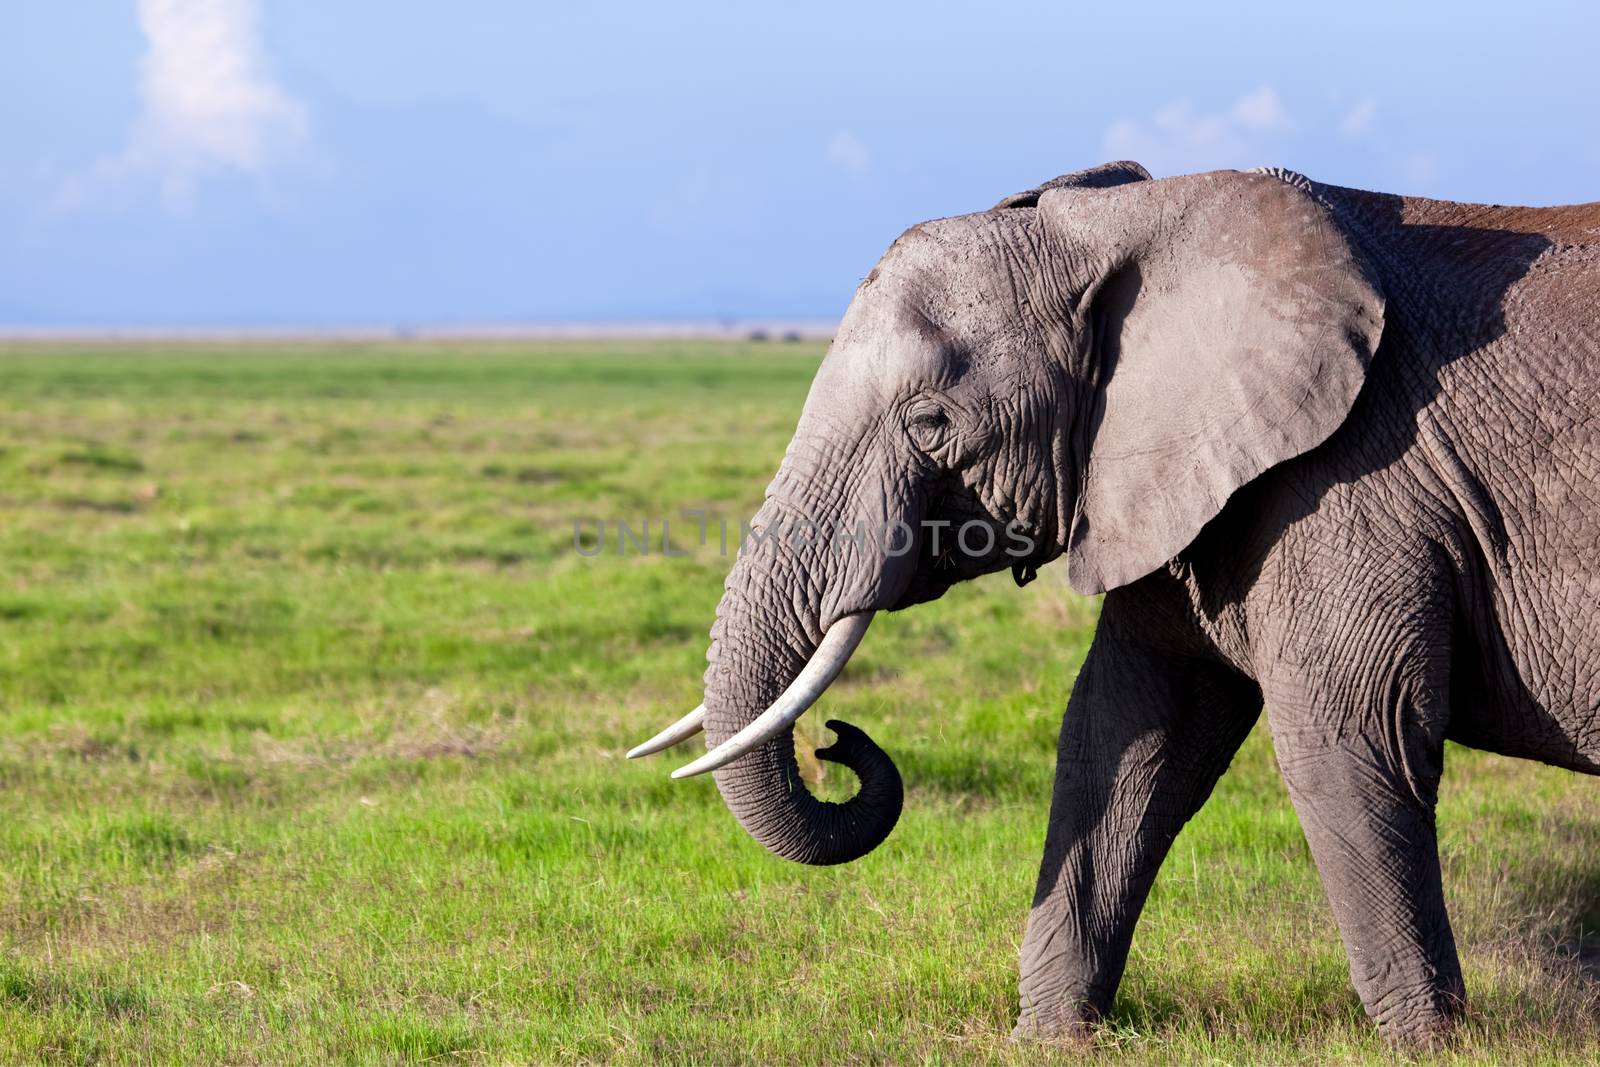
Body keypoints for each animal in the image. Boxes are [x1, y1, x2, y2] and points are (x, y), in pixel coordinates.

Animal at [624, 163, 1600, 1049]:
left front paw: (1432, 1045)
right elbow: (1126, 734)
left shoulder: (1355, 479)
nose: (838, 741)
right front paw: (1049, 1041)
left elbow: (1351, 736)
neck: (1126, 220)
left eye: (932, 423)